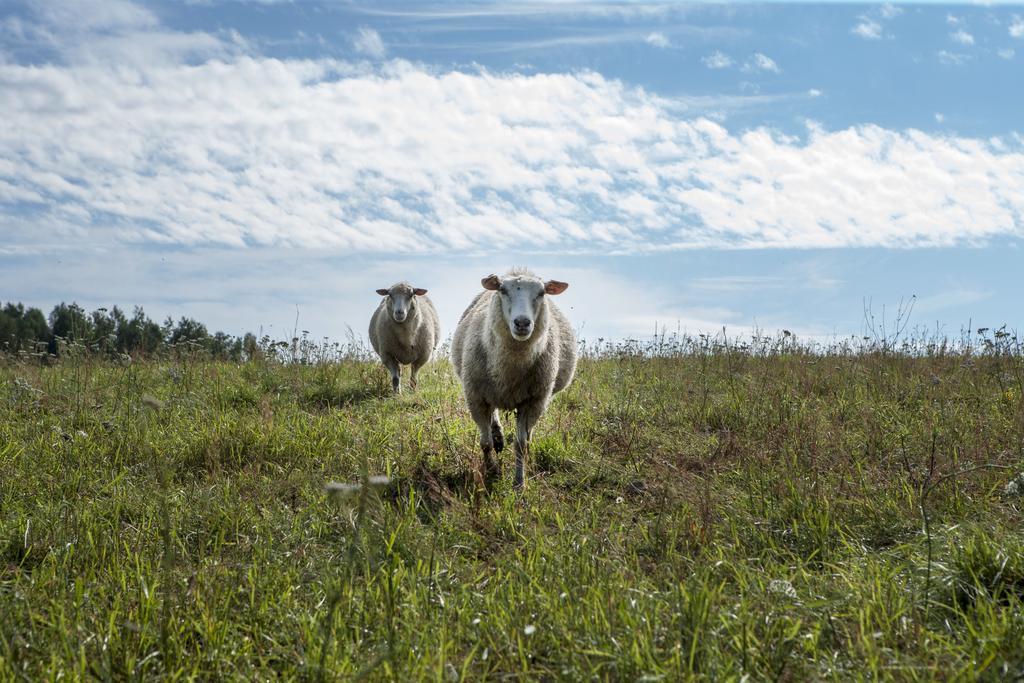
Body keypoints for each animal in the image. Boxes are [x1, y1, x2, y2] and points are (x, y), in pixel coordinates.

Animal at [450, 268, 577, 491]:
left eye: (542, 293)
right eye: (502, 290)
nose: (522, 323)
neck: (510, 370)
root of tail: (519, 269)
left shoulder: (533, 401)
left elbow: (520, 445)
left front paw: (519, 483)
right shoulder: (476, 398)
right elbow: (485, 443)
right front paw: (492, 470)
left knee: (526, 434)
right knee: (494, 415)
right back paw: (498, 437)